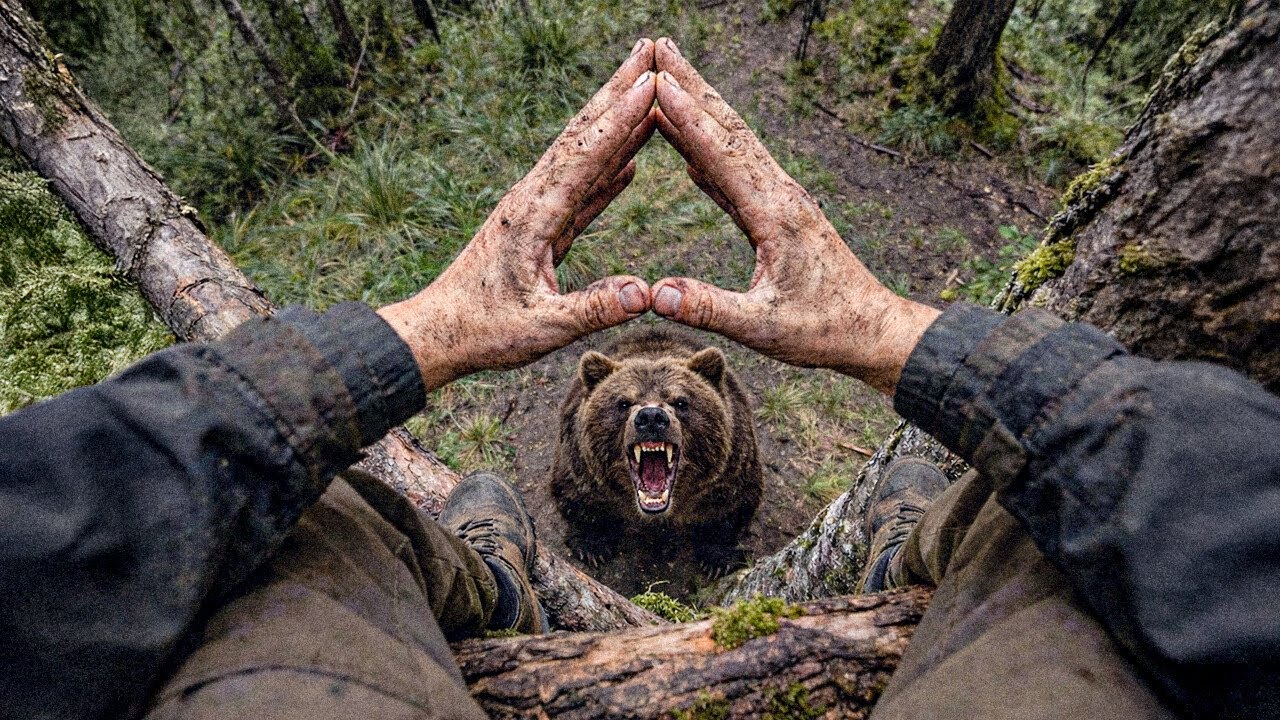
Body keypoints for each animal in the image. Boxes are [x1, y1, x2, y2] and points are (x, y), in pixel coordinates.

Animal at [551, 327, 763, 577]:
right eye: (624, 403)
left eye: (680, 402)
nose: (651, 417)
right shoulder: (582, 468)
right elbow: (577, 498)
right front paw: (593, 546)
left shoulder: (729, 470)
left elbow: (732, 506)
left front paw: (717, 559)